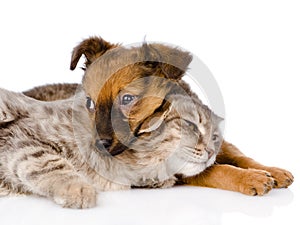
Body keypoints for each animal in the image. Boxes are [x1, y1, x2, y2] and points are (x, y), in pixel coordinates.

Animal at [25, 37, 292, 195]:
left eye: (127, 99)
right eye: (89, 103)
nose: (97, 145)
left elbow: (239, 155)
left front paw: (270, 170)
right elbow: (217, 170)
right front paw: (251, 179)